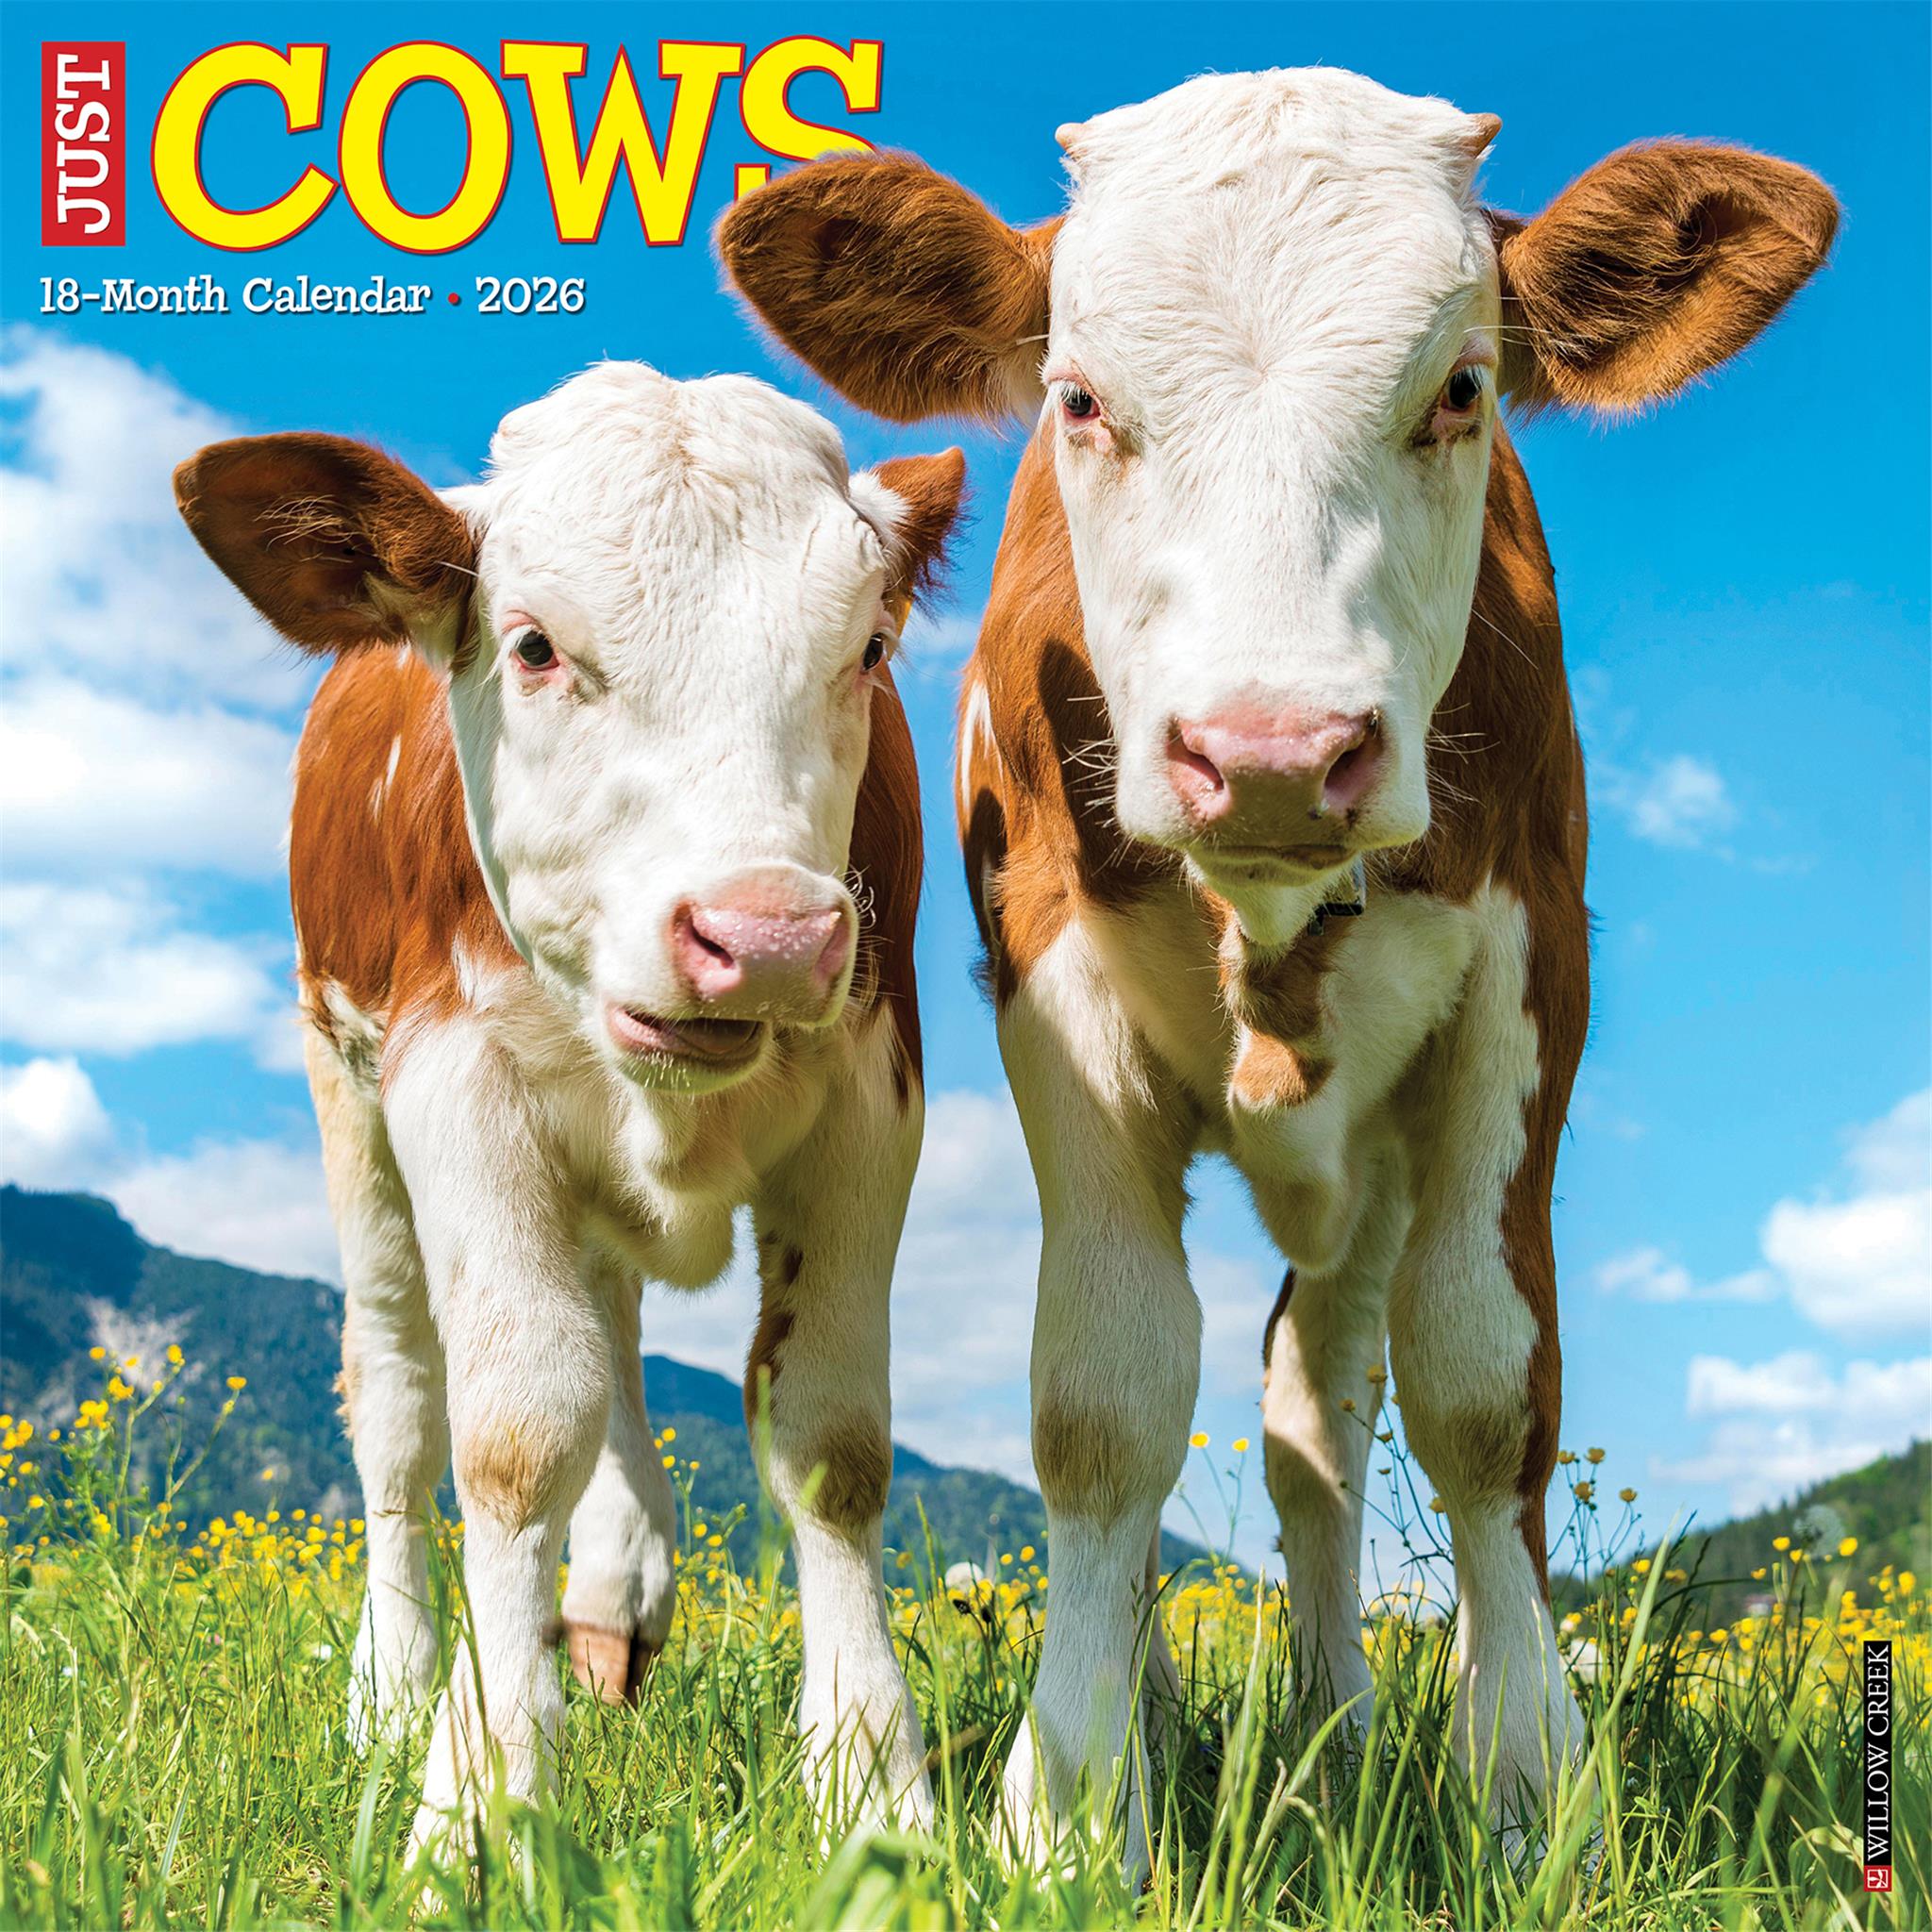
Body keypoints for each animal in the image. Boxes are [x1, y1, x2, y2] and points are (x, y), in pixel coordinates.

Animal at [173, 362, 964, 1847]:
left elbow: (831, 1437)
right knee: (400, 1395)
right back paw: (397, 1686)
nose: (766, 936)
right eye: (535, 645)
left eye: (869, 650)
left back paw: (607, 1588)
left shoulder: (872, 1088)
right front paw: (479, 1791)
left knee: (611, 1321)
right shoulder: (452, 1080)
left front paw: (870, 1781)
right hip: (344, 1093)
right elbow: (516, 1430)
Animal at [718, 68, 1837, 1856]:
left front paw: (1527, 1785)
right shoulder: (1051, 980)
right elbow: (1103, 1395)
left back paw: (1335, 1719)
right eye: (1079, 398)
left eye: (1461, 388)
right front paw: (1075, 1794)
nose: (1267, 753)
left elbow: (1479, 1384)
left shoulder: (1531, 977)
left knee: (1321, 1399)